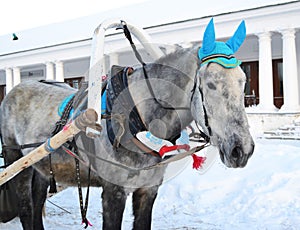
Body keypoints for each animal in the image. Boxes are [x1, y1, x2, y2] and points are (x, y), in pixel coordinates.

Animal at [0, 18, 253, 230]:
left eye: (243, 80)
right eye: (210, 84)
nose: (241, 150)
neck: (138, 120)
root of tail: (15, 89)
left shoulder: (148, 189)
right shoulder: (114, 191)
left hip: (42, 167)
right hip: (16, 159)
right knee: (26, 208)